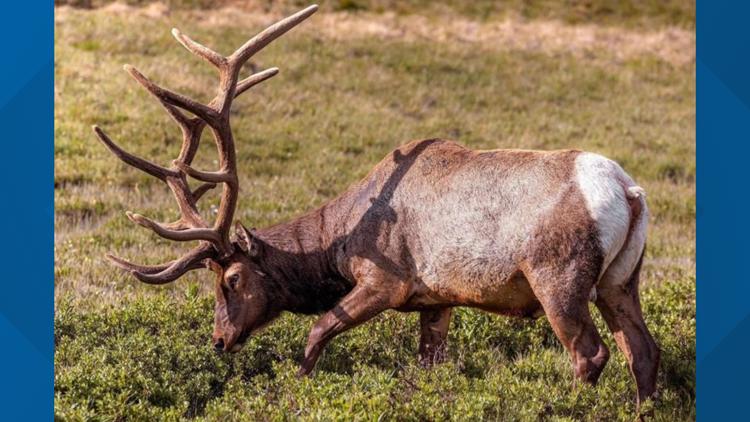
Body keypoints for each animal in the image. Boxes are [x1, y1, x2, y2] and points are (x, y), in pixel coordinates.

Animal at [92, 4, 659, 407]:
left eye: (231, 279)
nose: (218, 340)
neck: (336, 243)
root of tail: (628, 192)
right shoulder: (437, 298)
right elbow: (429, 362)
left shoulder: (387, 280)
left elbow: (316, 333)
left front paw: (298, 390)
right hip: (621, 279)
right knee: (643, 351)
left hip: (557, 276)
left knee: (591, 354)